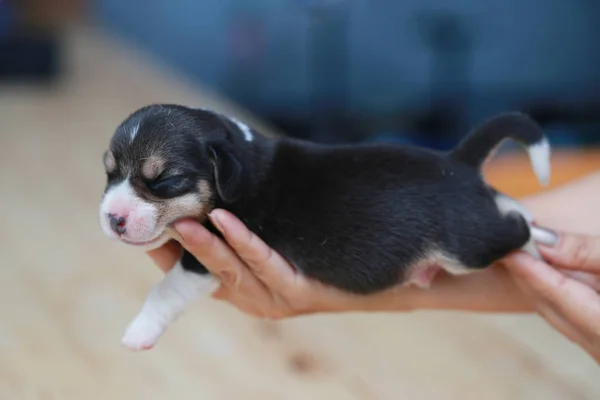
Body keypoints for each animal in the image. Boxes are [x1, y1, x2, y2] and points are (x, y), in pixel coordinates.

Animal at [99, 104, 552, 352]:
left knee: (513, 228)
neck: (240, 164)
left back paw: (536, 239)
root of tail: (457, 161)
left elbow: (166, 290)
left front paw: (139, 331)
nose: (112, 218)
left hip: (465, 247)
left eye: (164, 180)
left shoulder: (209, 252)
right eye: (109, 172)